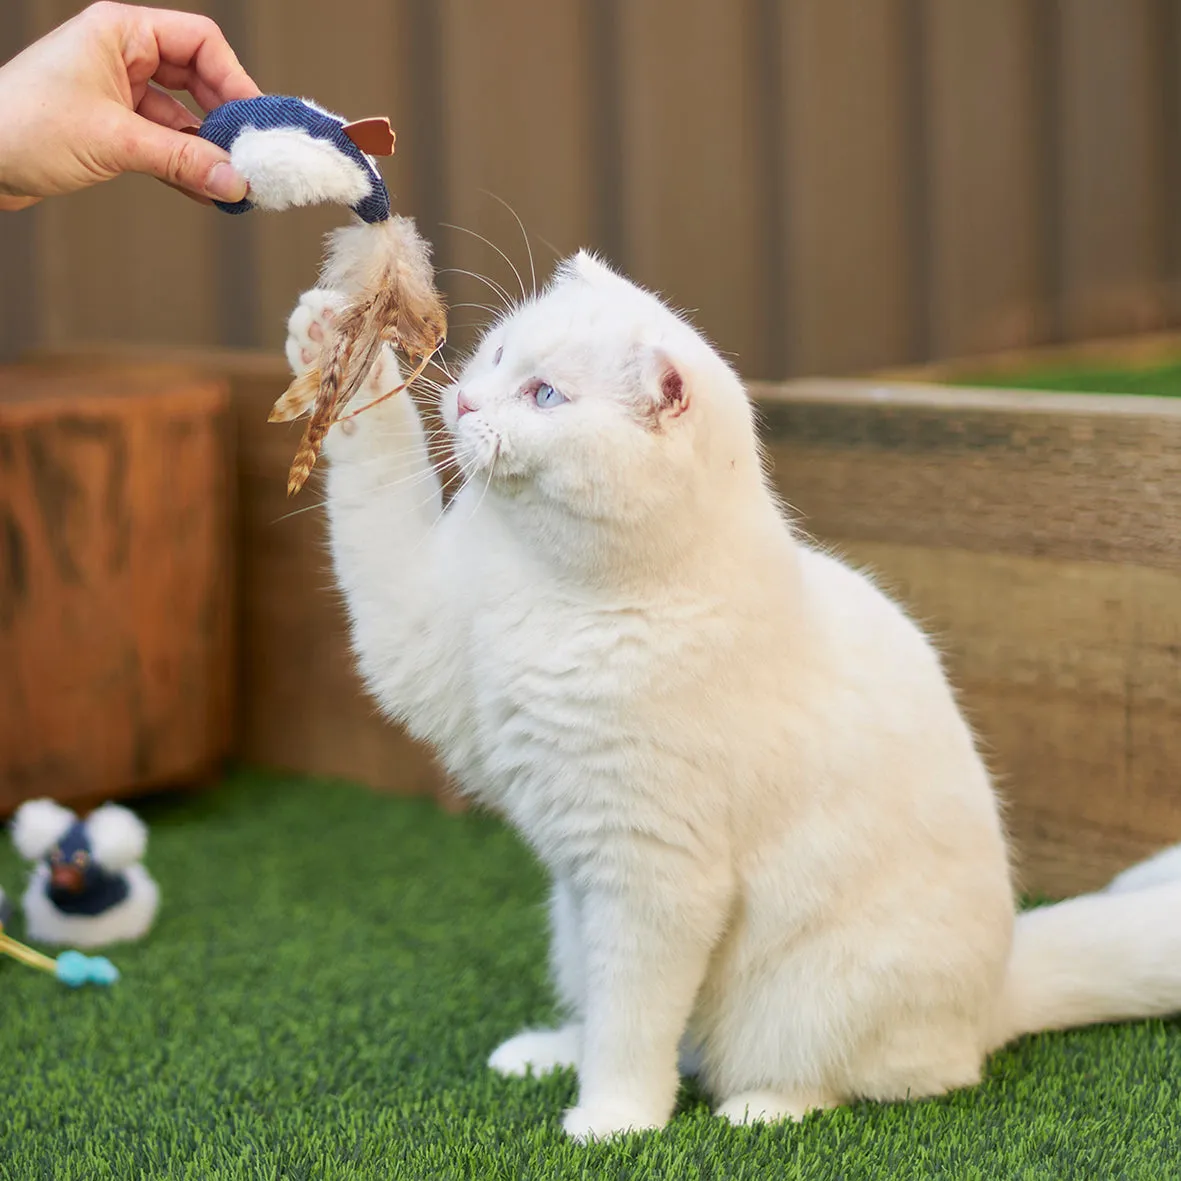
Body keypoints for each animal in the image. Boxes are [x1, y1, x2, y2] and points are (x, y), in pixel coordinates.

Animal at [285, 251, 1181, 1143]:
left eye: (546, 396)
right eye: (499, 354)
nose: (467, 399)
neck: (550, 583)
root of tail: (1000, 986)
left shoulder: (654, 876)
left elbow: (633, 1026)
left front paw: (612, 1123)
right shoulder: (409, 632)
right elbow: (374, 475)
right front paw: (331, 339)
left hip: (797, 998)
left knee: (828, 1074)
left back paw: (755, 1109)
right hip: (574, 923)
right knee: (628, 1022)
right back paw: (541, 1051)